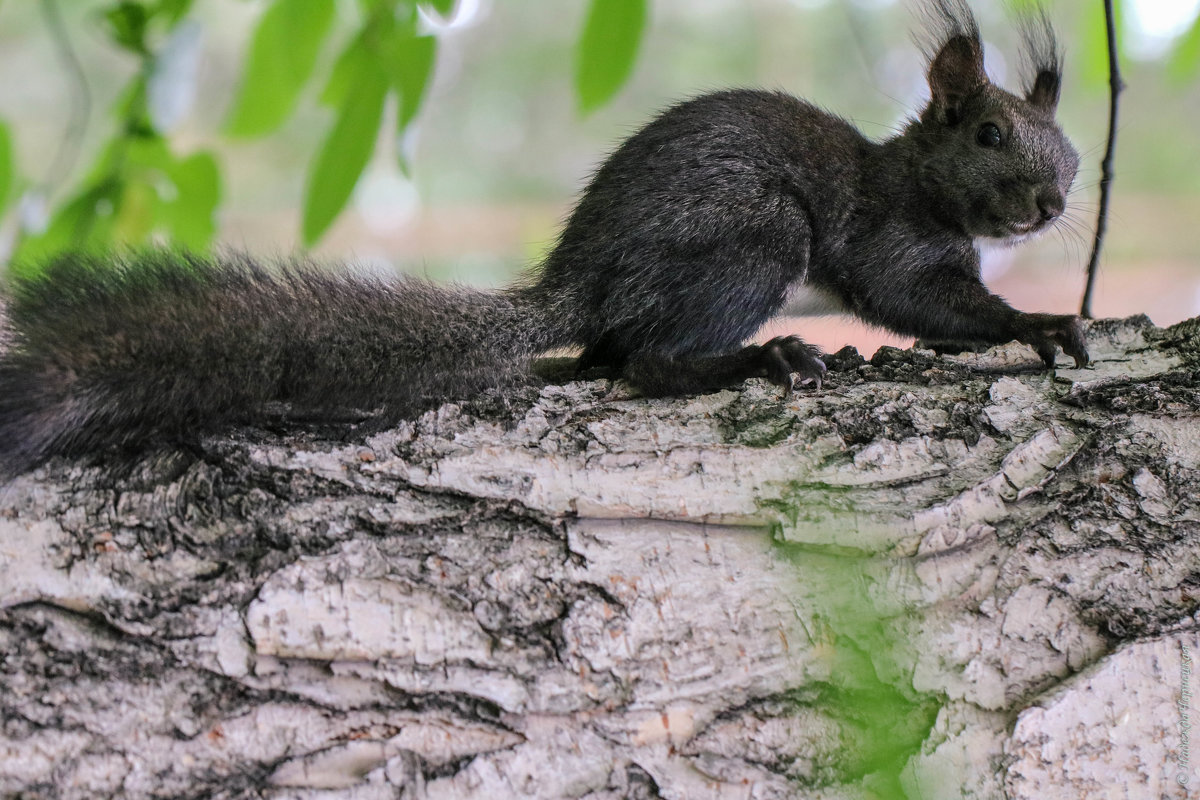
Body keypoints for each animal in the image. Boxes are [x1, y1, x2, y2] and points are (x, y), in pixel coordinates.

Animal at [0, 0, 1089, 474]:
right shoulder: (886, 240)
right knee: (646, 360)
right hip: (752, 238)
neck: (919, 187)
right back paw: (759, 356)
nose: (1047, 203)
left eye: (1074, 155)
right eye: (989, 134)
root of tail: (583, 282)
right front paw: (1036, 324)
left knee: (612, 354)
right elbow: (921, 302)